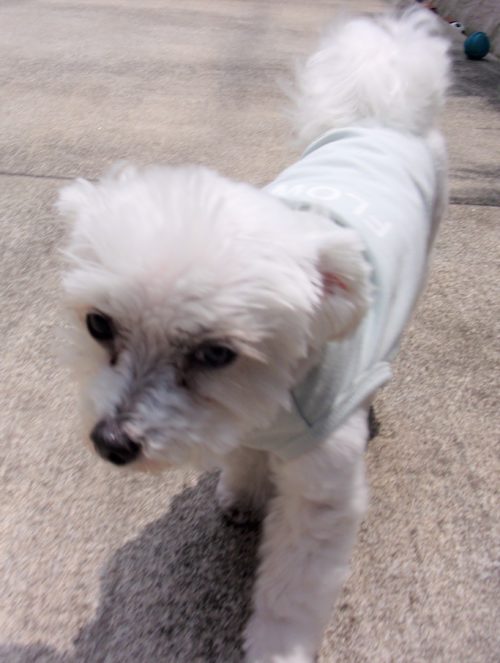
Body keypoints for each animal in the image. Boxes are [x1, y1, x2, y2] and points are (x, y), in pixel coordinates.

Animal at [58, 9, 450, 662]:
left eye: (216, 353)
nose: (111, 442)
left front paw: (279, 648)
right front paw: (243, 492)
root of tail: (381, 113)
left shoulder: (322, 496)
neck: (272, 398)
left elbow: (294, 587)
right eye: (98, 324)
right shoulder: (243, 423)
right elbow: (243, 455)